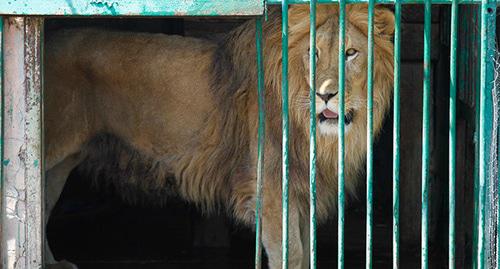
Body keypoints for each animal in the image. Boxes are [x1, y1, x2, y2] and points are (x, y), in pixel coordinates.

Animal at [43, 4, 394, 268]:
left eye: (350, 53)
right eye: (313, 52)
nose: (325, 95)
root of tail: (46, 39)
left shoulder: (303, 193)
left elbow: (306, 256)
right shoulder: (270, 193)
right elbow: (291, 256)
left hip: (61, 163)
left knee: (43, 204)